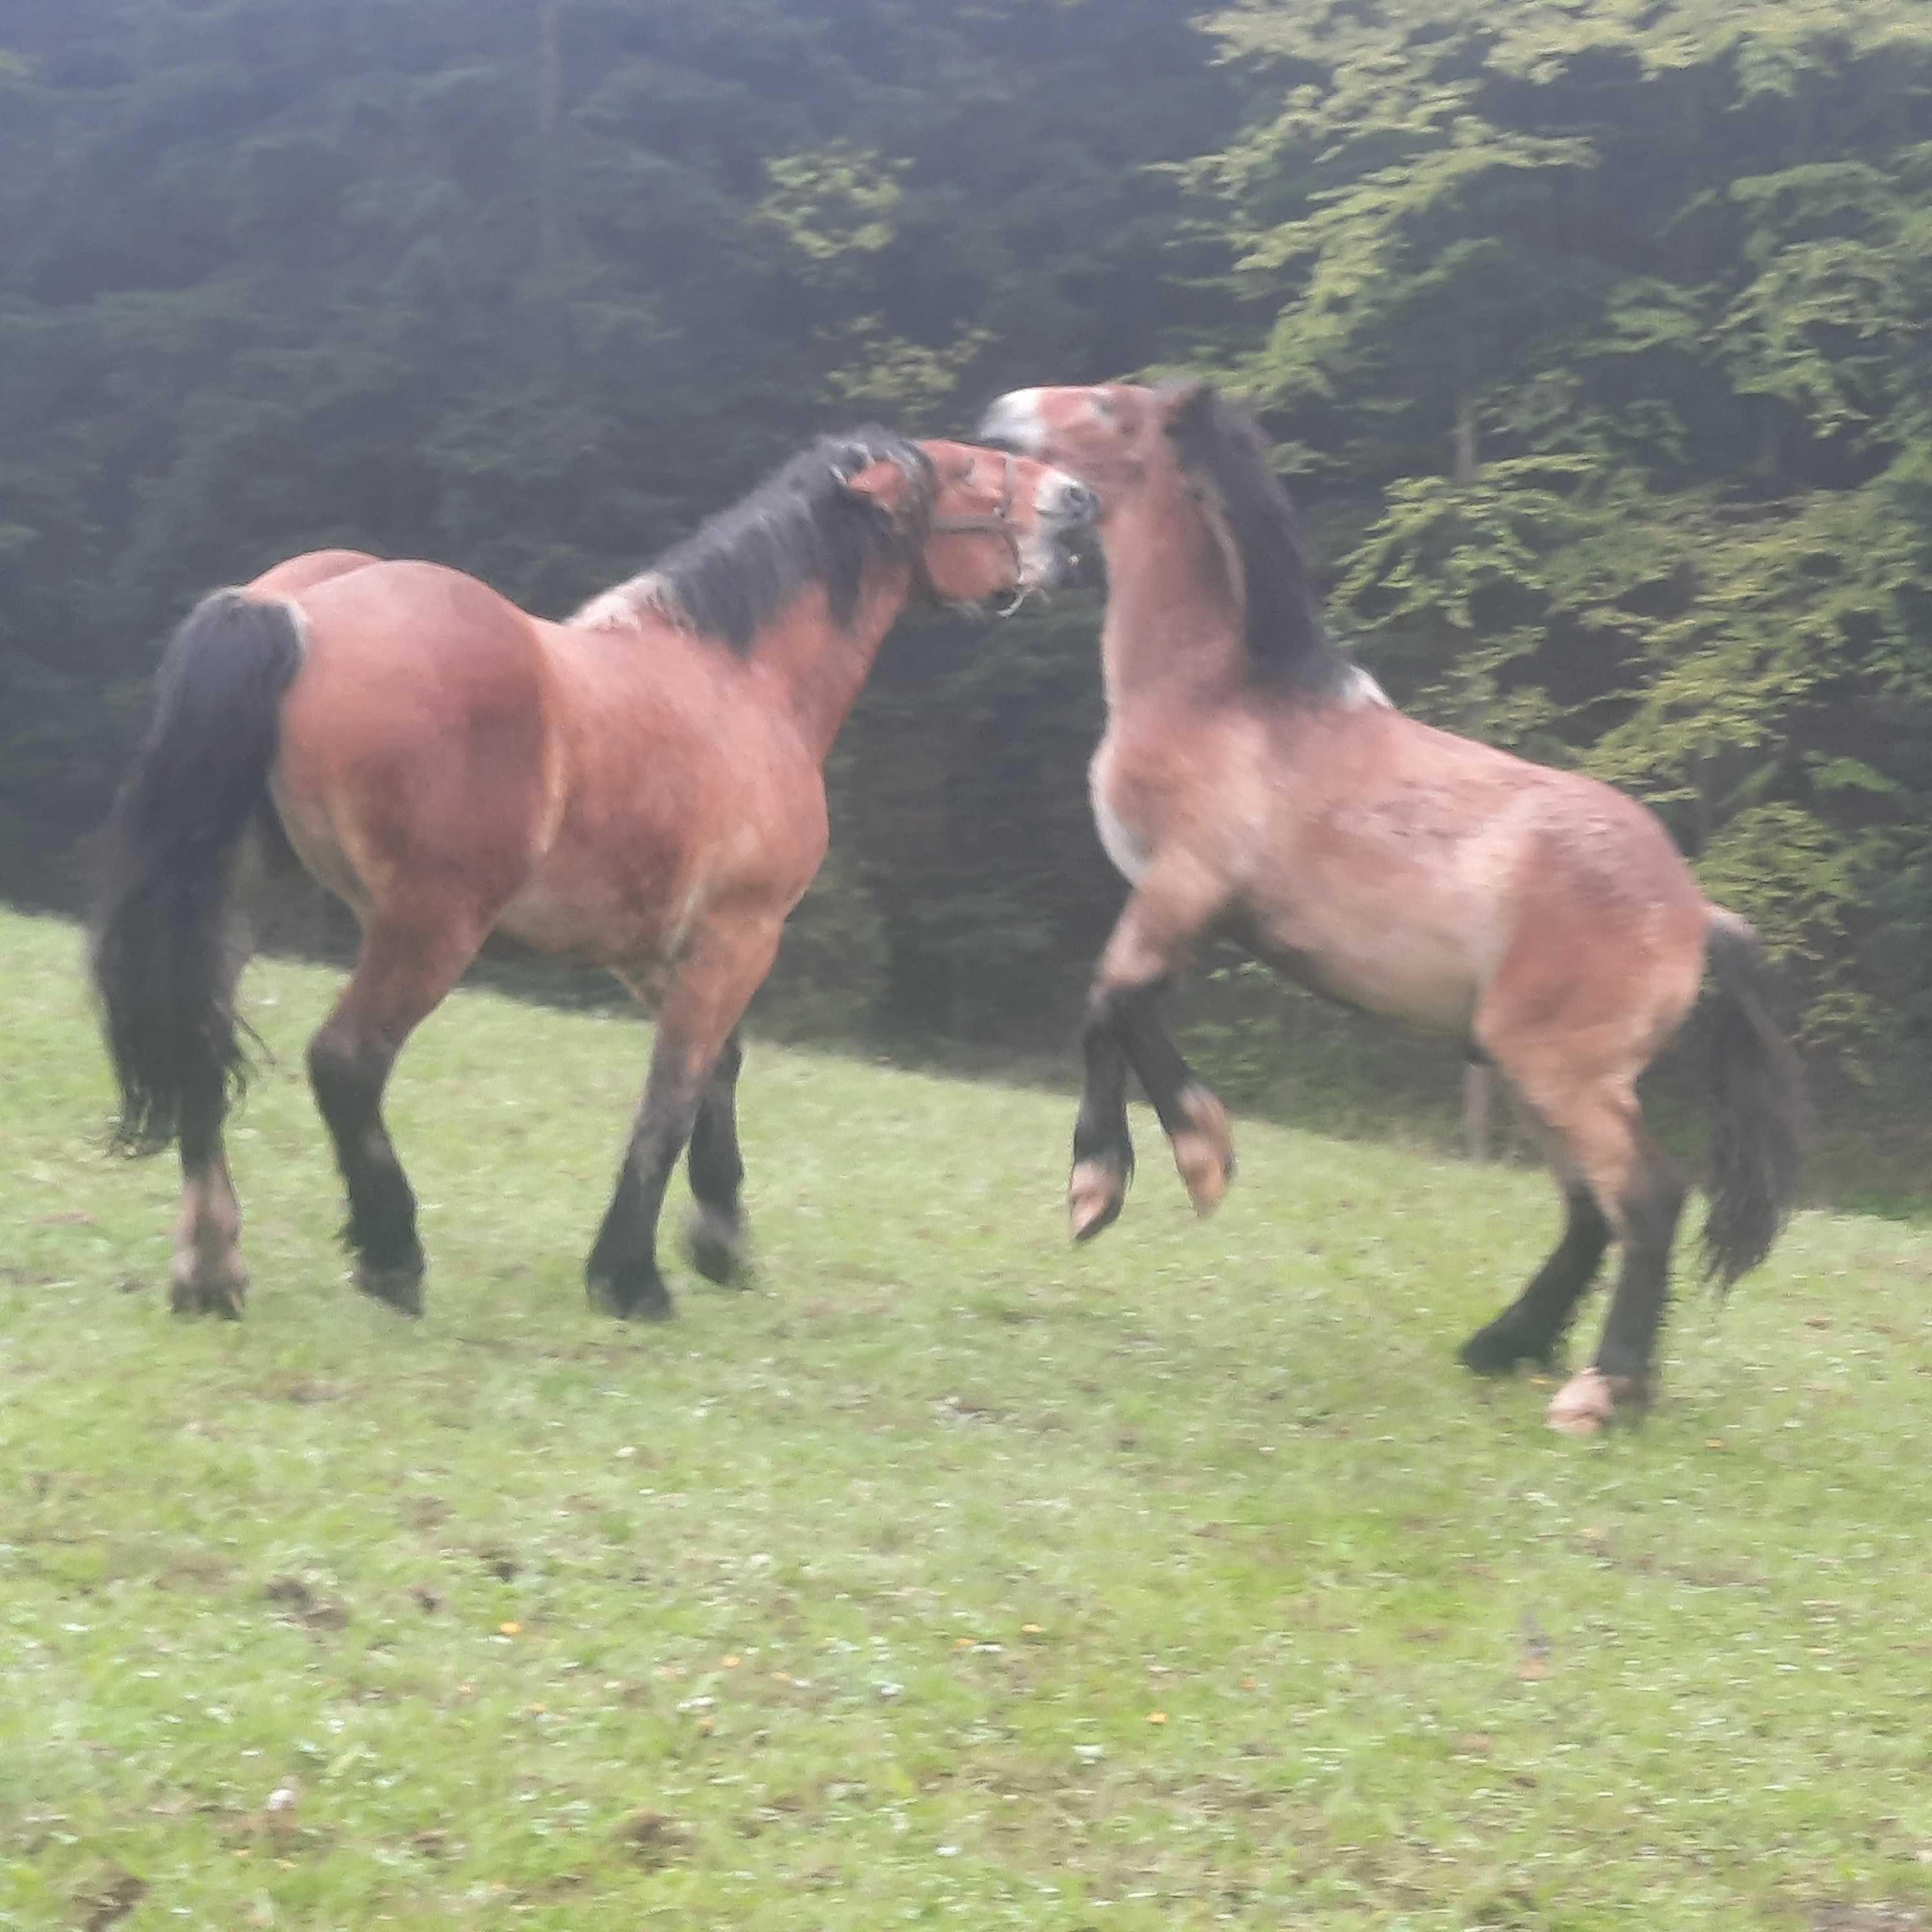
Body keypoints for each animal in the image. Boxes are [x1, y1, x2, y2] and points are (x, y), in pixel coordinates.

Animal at [90, 431, 1105, 1321]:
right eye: (968, 469)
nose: (1079, 500)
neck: (739, 680)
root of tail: (297, 614)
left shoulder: (652, 949)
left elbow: (717, 1073)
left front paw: (720, 1241)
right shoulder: (738, 935)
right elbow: (671, 1097)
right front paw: (631, 1278)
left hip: (235, 899)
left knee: (199, 1044)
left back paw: (211, 1270)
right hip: (430, 928)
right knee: (345, 1061)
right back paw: (391, 1255)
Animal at [981, 380, 1808, 1437]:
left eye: (1107, 405)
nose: (1001, 411)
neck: (1223, 701)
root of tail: (1699, 917)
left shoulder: (1183, 887)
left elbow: (1107, 1003)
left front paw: (1147, 1174)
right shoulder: (1192, 913)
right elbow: (1126, 1011)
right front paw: (1169, 1162)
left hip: (1563, 1073)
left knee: (1649, 1198)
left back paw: (1600, 1389)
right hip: (1530, 1069)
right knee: (1591, 1209)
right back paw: (1507, 1346)